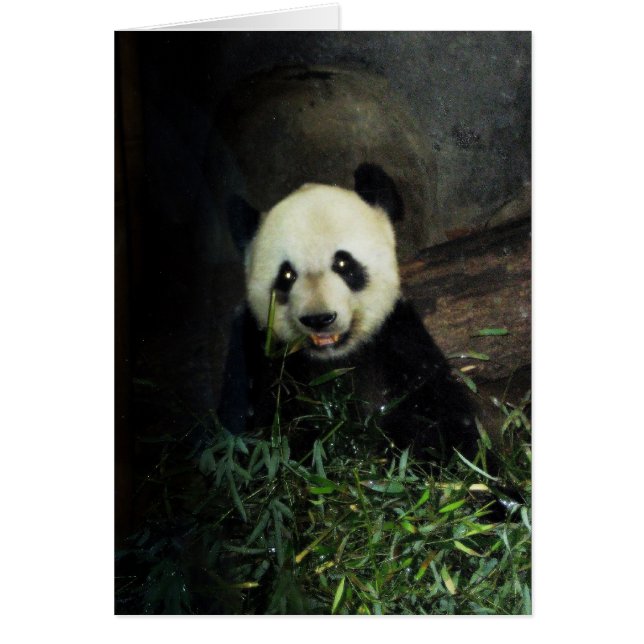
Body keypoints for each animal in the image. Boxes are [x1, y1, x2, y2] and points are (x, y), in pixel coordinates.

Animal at [218, 163, 478, 460]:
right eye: (287, 275)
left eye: (343, 263)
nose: (319, 319)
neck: (335, 359)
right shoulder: (258, 354)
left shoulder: (397, 340)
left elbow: (440, 420)